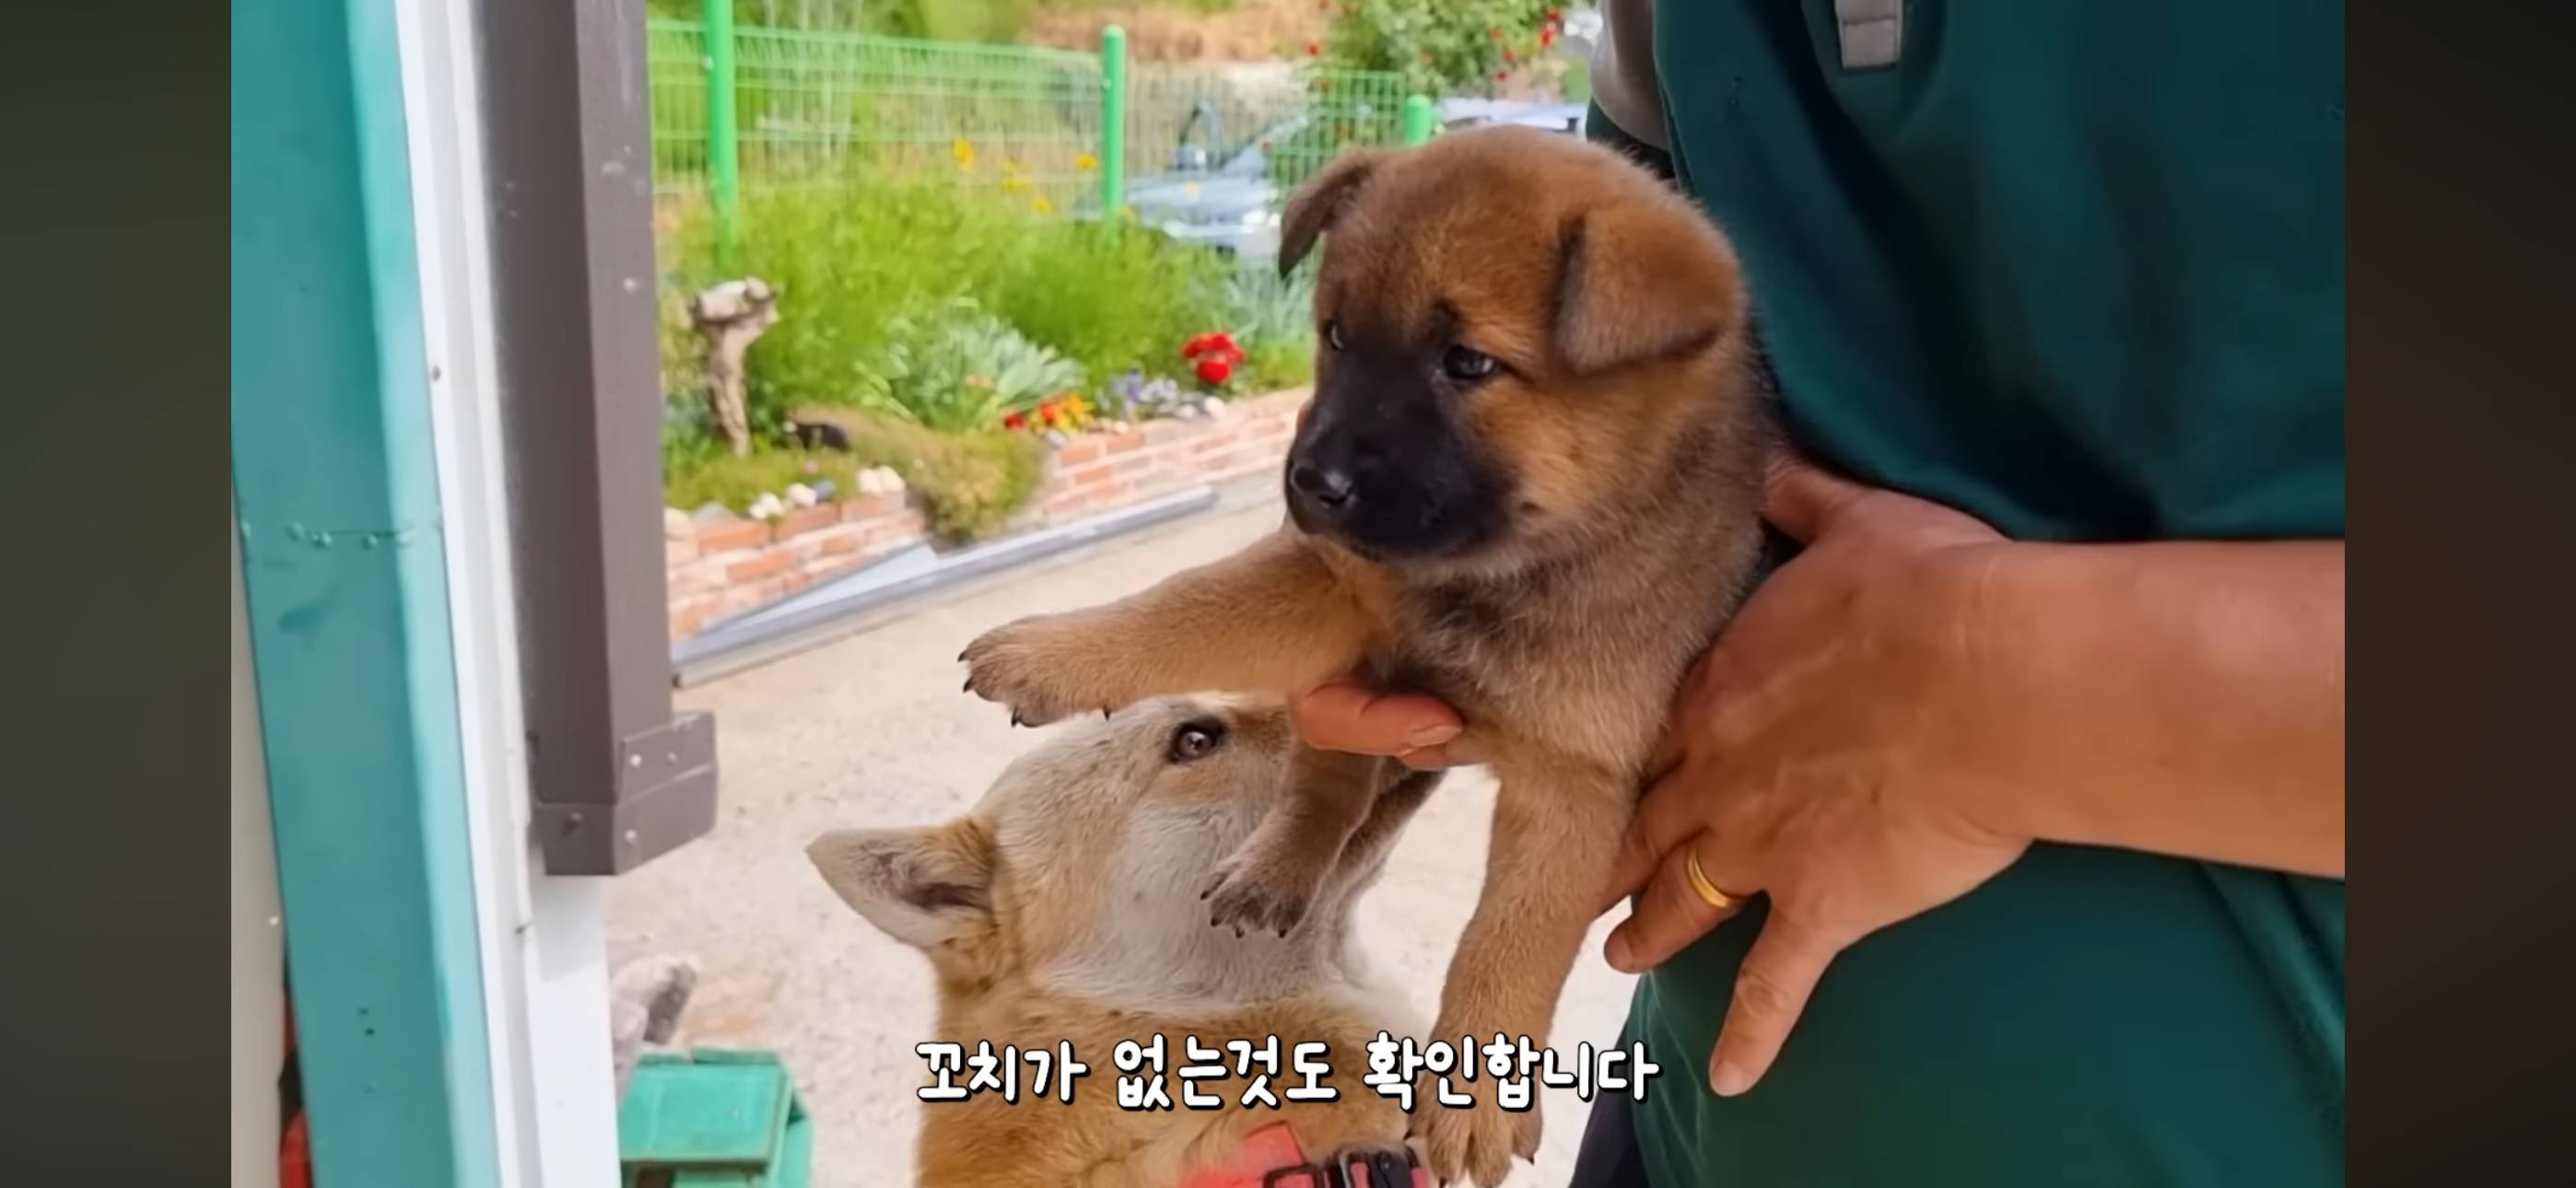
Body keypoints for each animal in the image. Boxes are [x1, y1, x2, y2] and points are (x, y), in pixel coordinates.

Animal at [953, 124, 1772, 1180]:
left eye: (1467, 362)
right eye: (1336, 336)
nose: (1309, 482)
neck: (1485, 578)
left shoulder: (1575, 781)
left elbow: (1510, 937)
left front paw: (1478, 1089)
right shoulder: (1336, 590)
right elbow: (1184, 608)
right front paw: (1056, 649)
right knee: (1325, 783)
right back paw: (1278, 864)